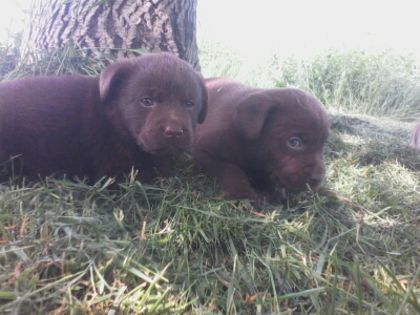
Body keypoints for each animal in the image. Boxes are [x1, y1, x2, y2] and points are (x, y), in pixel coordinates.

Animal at [193, 79, 328, 205]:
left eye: (322, 145)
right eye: (294, 142)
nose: (318, 178)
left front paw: (272, 191)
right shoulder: (202, 152)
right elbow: (231, 169)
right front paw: (244, 195)